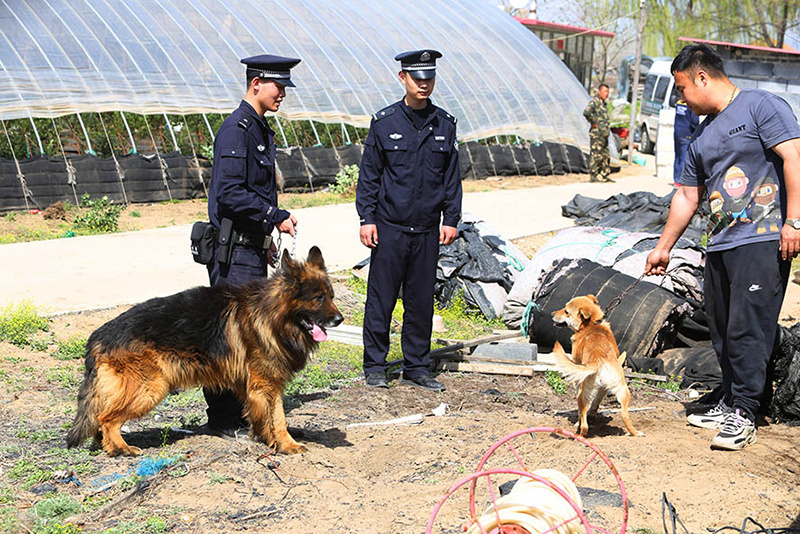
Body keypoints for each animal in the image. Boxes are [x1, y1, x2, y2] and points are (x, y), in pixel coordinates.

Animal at [67, 249, 342, 458]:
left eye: (331, 296)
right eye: (318, 298)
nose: (340, 319)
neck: (270, 315)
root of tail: (99, 335)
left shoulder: (258, 387)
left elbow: (267, 417)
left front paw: (270, 439)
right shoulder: (266, 385)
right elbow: (278, 418)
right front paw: (286, 445)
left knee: (99, 419)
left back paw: (108, 447)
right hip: (150, 388)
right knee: (106, 418)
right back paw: (121, 449)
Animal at [552, 296, 644, 438]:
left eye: (566, 311)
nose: (552, 314)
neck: (591, 324)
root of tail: (599, 359)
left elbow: (580, 413)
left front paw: (577, 422)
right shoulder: (602, 389)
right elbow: (595, 404)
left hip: (583, 393)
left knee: (584, 422)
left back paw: (579, 435)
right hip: (623, 392)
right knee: (624, 415)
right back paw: (635, 432)